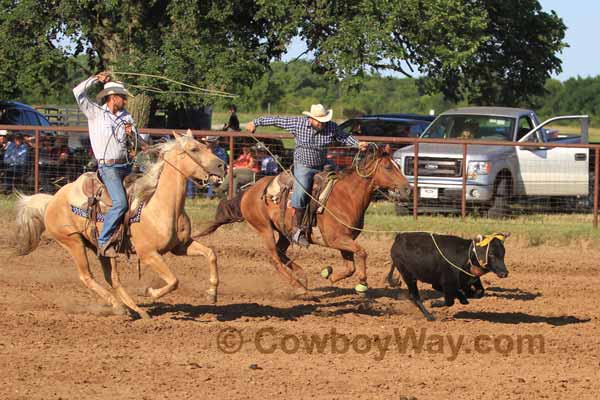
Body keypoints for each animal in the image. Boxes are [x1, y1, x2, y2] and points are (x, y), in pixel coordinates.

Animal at [17, 131, 227, 318]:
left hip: (101, 249)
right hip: (73, 242)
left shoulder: (180, 246)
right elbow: (174, 280)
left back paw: (134, 310)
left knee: (113, 279)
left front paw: (212, 293)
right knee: (87, 276)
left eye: (206, 146)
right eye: (194, 149)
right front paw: (149, 291)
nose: (222, 165)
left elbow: (211, 254)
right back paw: (121, 307)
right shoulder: (149, 254)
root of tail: (52, 200)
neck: (159, 204)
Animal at [197, 148, 412, 296]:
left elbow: (350, 266)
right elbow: (362, 252)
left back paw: (302, 276)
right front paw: (362, 284)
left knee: (281, 252)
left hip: (285, 231)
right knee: (274, 258)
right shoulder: (336, 239)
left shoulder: (345, 240)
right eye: (388, 167)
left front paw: (330, 275)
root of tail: (249, 191)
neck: (346, 197)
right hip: (264, 228)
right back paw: (298, 286)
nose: (408, 189)